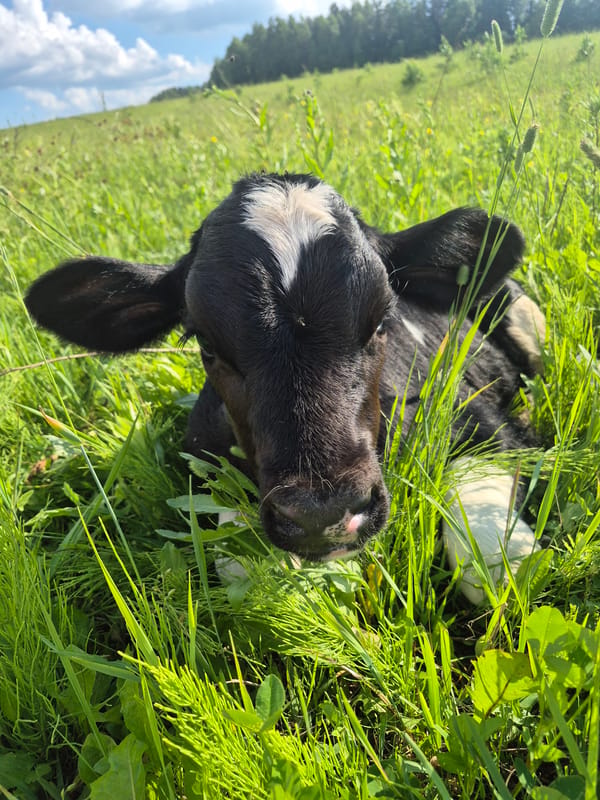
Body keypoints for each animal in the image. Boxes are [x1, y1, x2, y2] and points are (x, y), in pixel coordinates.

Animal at [25, 172, 545, 601]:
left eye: (381, 320)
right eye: (204, 341)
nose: (324, 514)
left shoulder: (480, 422)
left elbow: (496, 563)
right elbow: (246, 570)